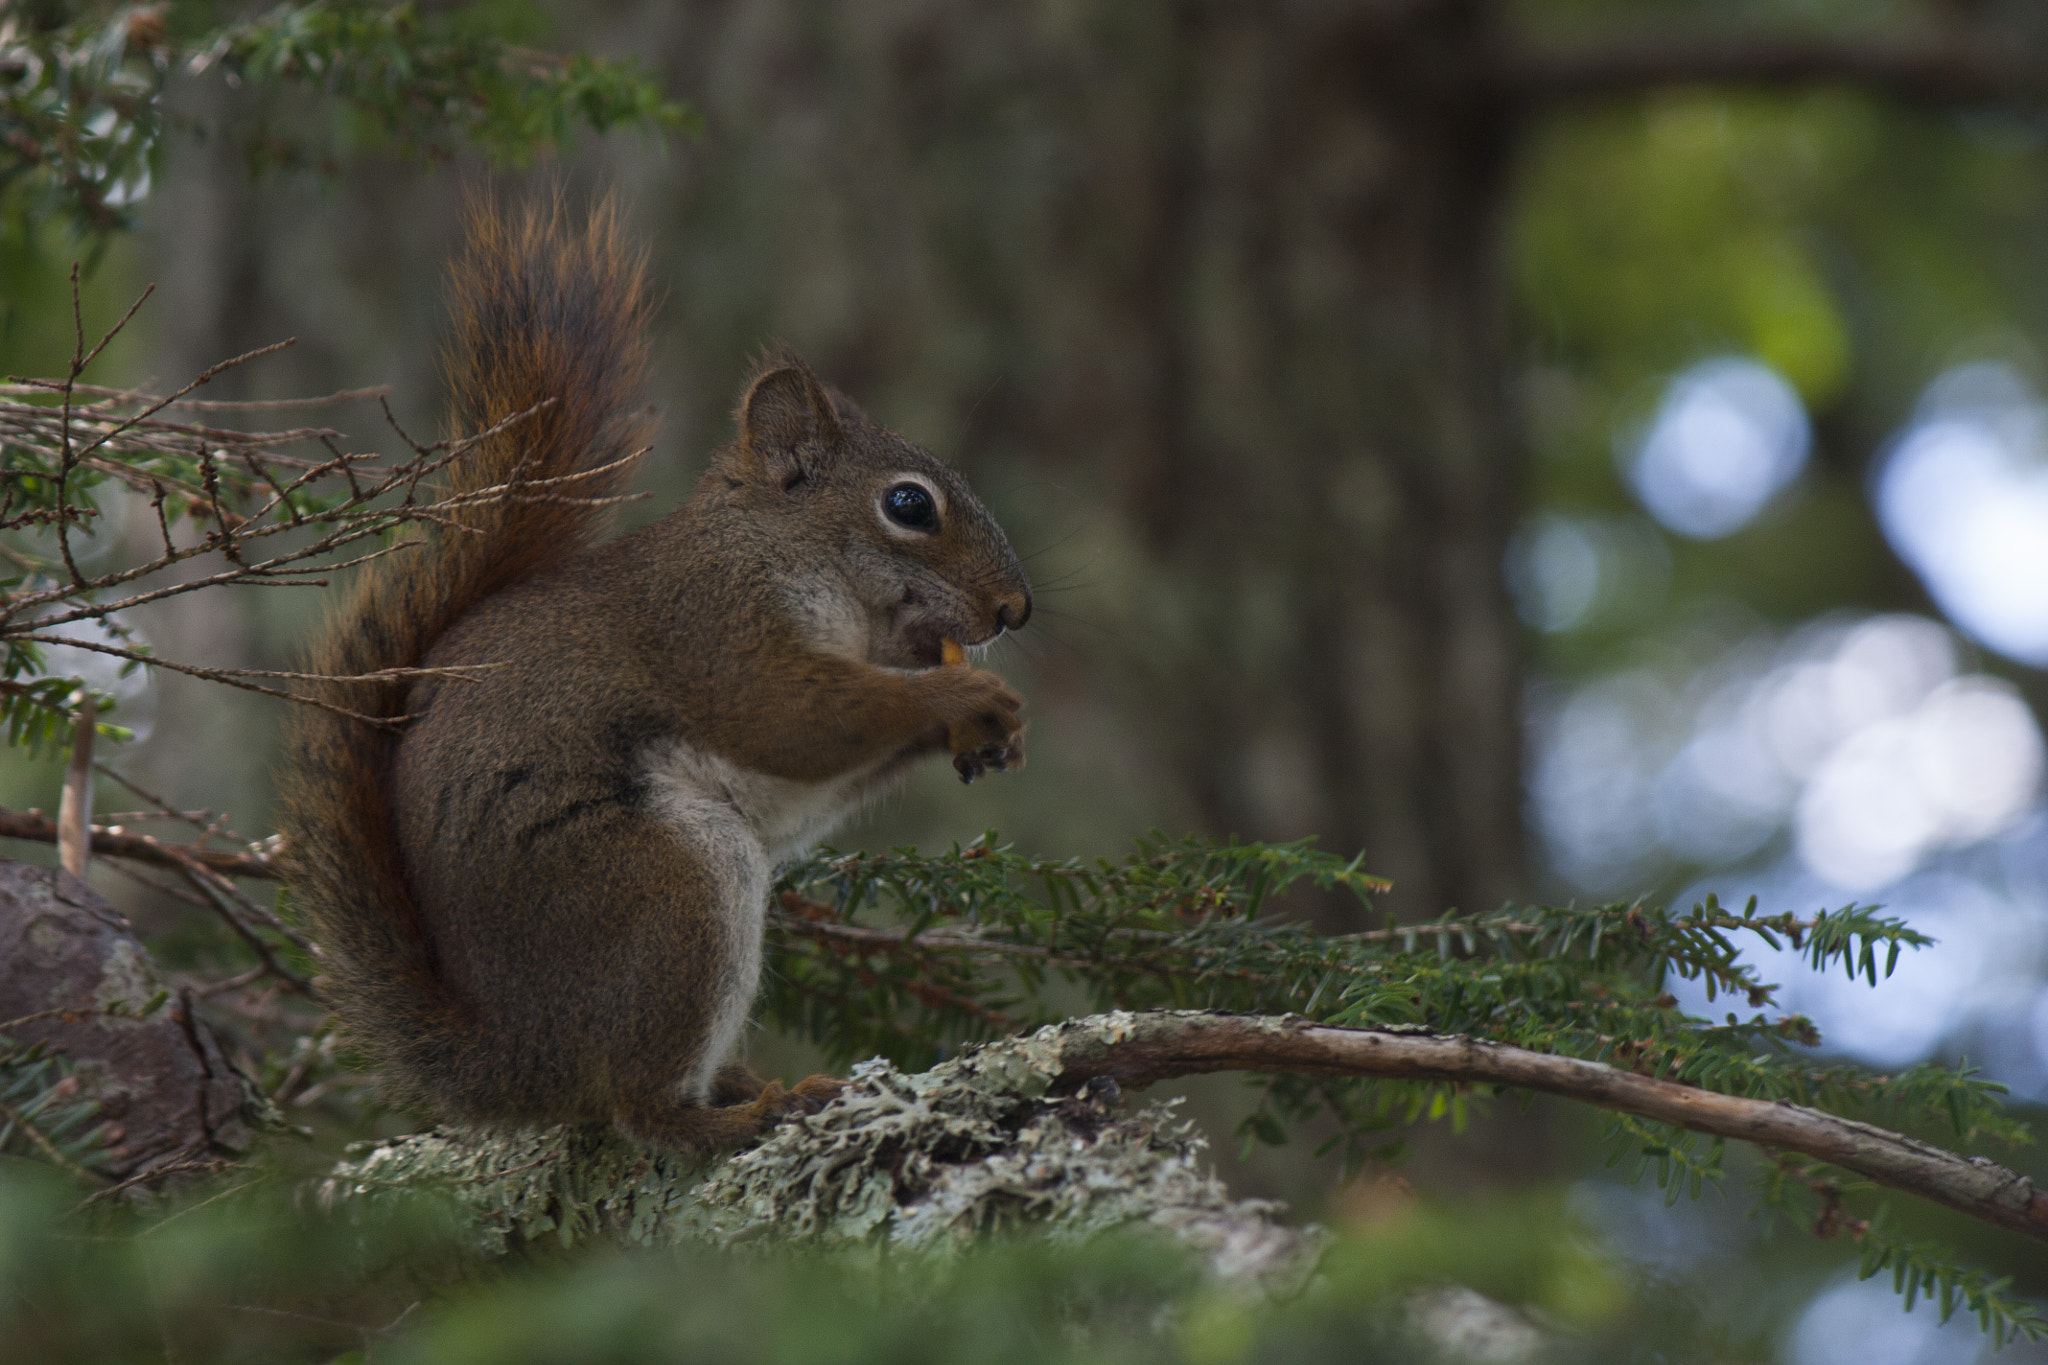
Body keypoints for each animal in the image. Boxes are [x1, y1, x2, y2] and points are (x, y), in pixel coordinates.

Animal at [277, 198, 1030, 1149]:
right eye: (908, 505)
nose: (1017, 609)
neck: (784, 550)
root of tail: (519, 1058)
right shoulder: (710, 623)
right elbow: (792, 719)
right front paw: (963, 696)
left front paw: (989, 732)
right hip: (665, 887)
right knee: (639, 1105)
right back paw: (742, 1114)